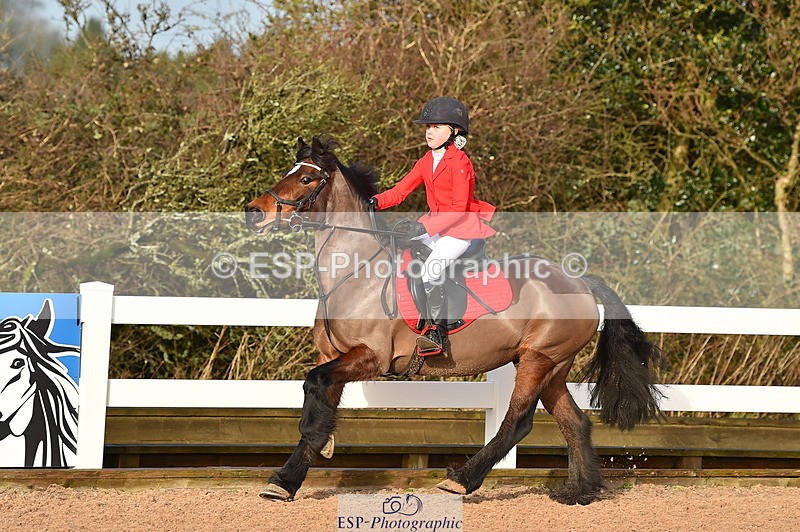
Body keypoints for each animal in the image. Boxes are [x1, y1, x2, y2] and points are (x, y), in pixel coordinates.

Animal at [244, 136, 662, 504]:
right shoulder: (333, 356)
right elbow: (317, 407)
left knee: (518, 422)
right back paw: (579, 493)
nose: (254, 212)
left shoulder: (370, 358)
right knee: (575, 423)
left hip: (539, 360)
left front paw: (290, 473)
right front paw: (287, 480)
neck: (355, 274)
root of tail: (580, 281)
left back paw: (461, 480)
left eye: (306, 178)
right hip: (554, 367)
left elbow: (314, 393)